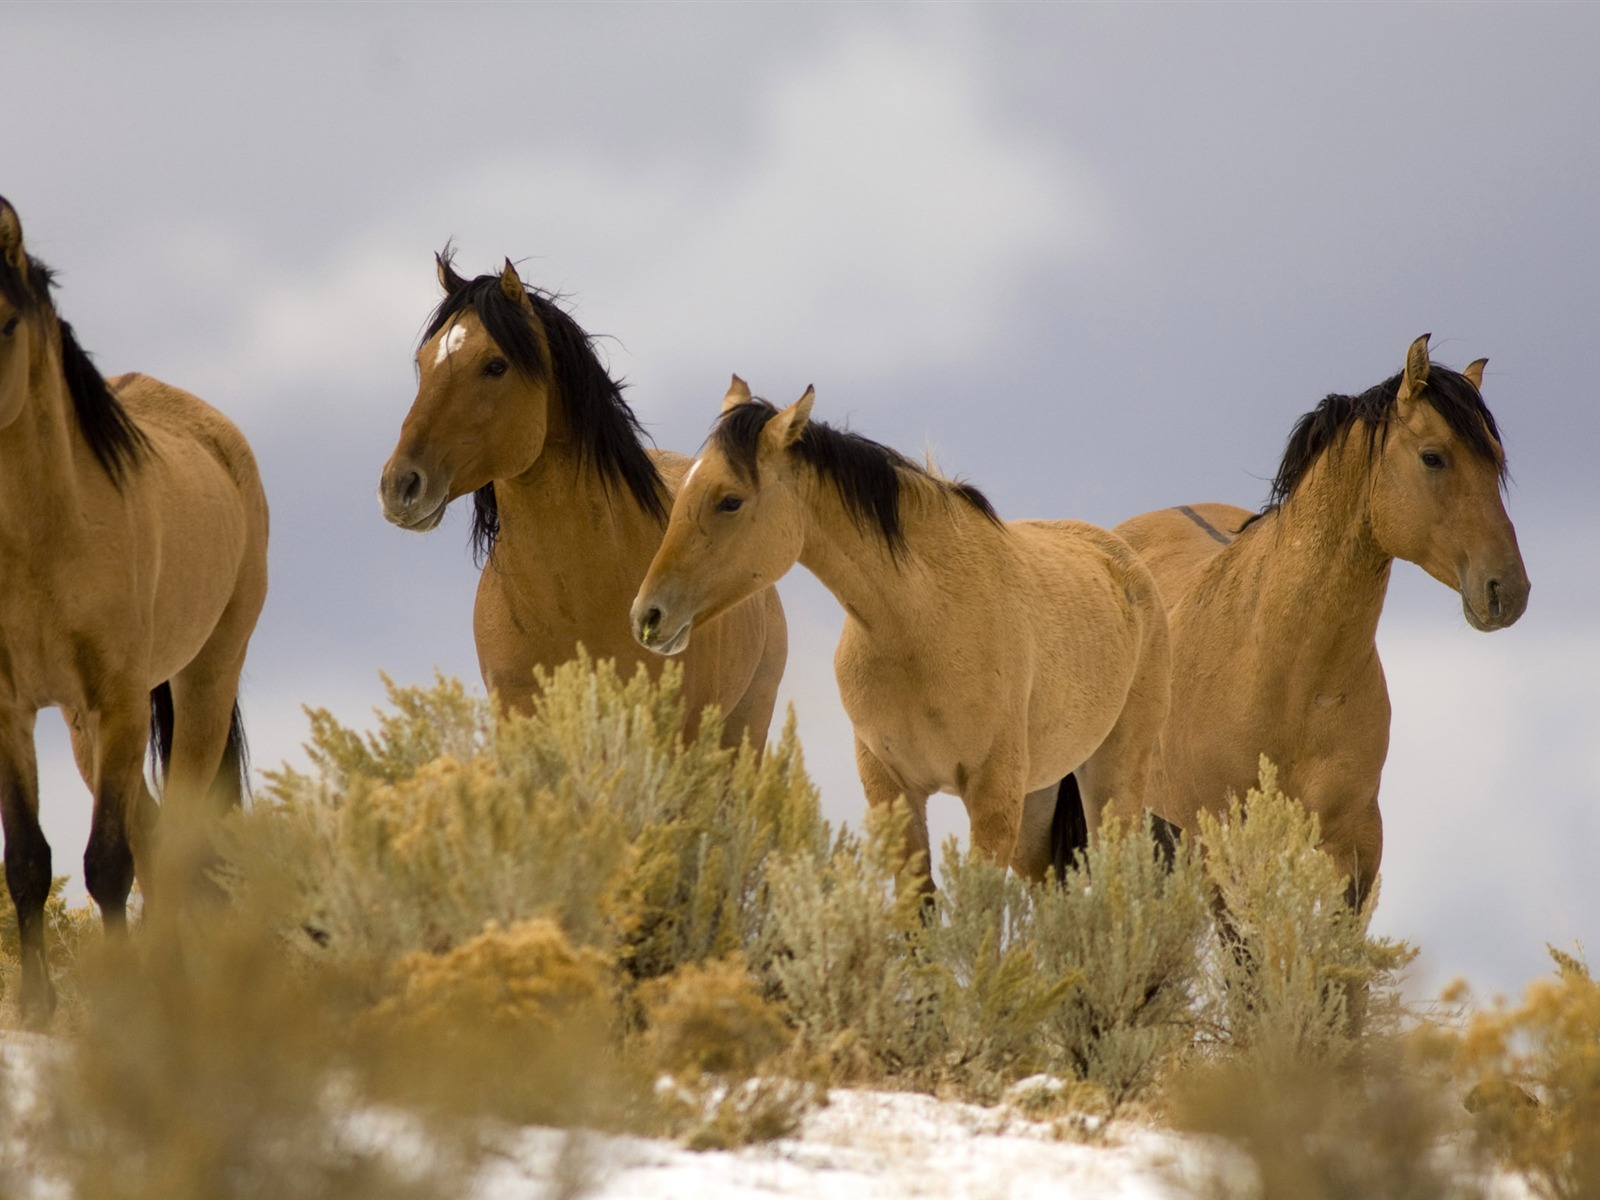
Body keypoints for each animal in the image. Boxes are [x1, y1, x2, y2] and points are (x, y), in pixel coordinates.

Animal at [0, 197, 268, 1024]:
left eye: (4, 323)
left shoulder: (118, 700)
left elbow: (107, 863)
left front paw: (120, 1004)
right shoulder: (12, 708)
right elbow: (28, 860)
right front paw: (37, 1007)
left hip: (202, 683)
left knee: (172, 836)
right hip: (83, 727)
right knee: (153, 829)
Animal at [630, 380, 1171, 889]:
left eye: (730, 501)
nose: (648, 616)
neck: (922, 623)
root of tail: (1130, 566)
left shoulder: (991, 797)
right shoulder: (893, 789)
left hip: (1111, 779)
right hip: (1040, 795)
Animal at [1062, 334, 1523, 908]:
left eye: (1497, 460)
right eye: (1433, 457)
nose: (1508, 589)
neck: (1288, 675)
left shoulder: (1356, 848)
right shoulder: (1221, 846)